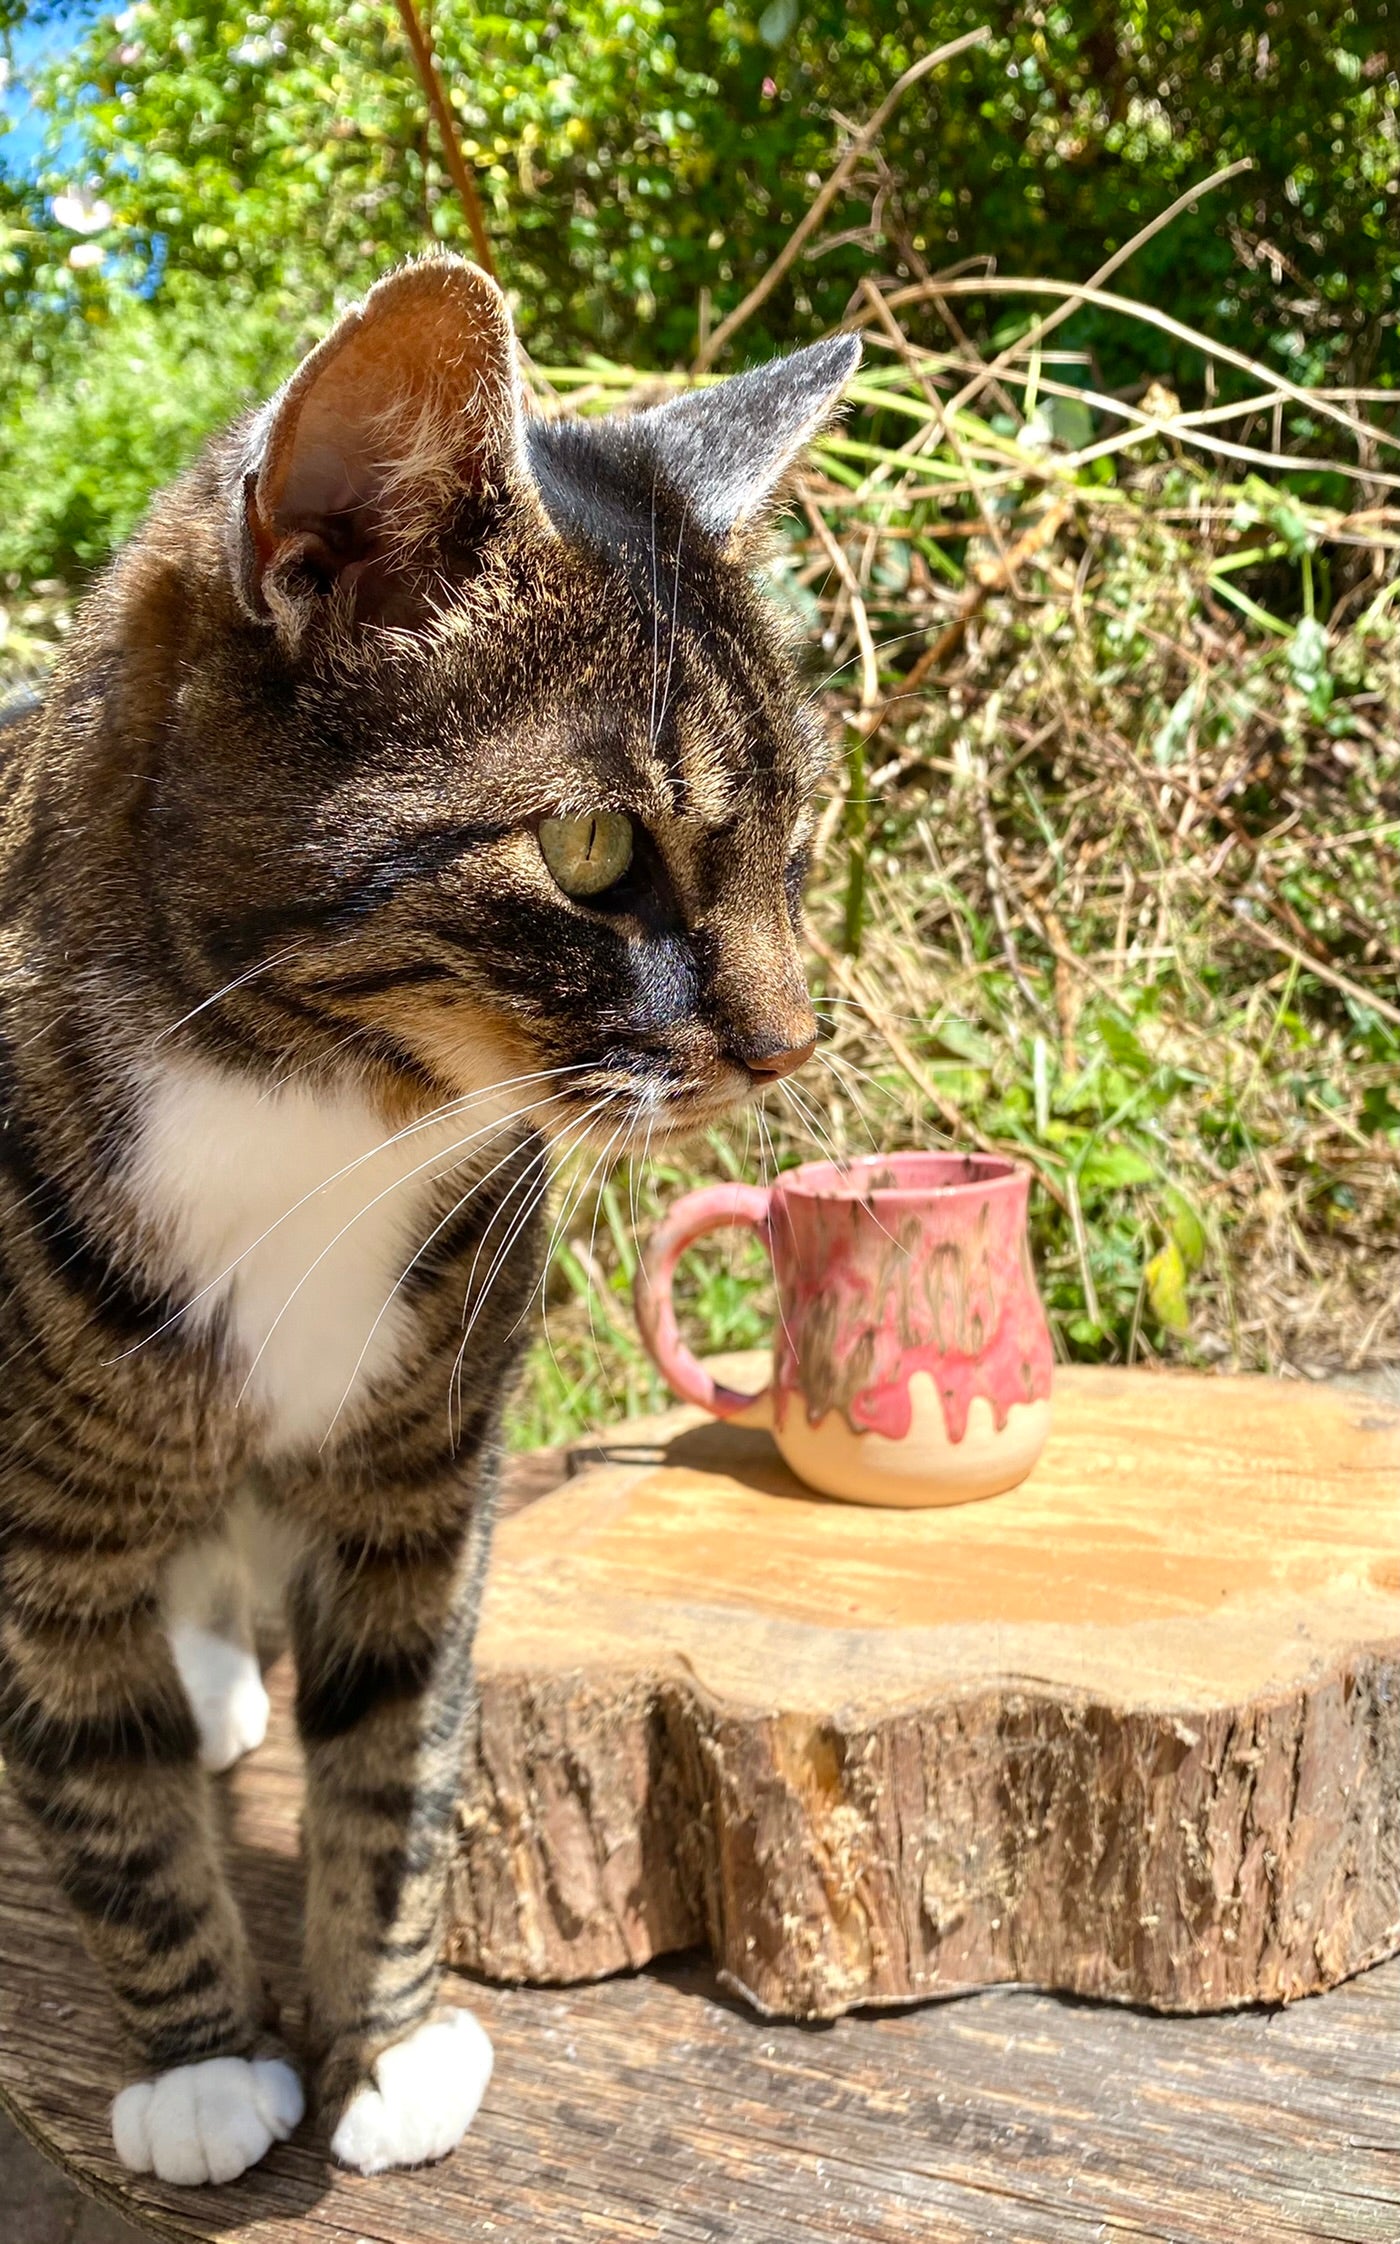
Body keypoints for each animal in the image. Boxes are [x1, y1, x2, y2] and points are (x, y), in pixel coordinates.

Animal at [0, 254, 857, 2181]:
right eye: (596, 849)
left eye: (797, 843)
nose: (790, 1044)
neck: (316, 1105)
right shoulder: (22, 1526)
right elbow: (101, 1785)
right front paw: (201, 2062)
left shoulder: (424, 1468)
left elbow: (399, 1747)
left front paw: (384, 2049)